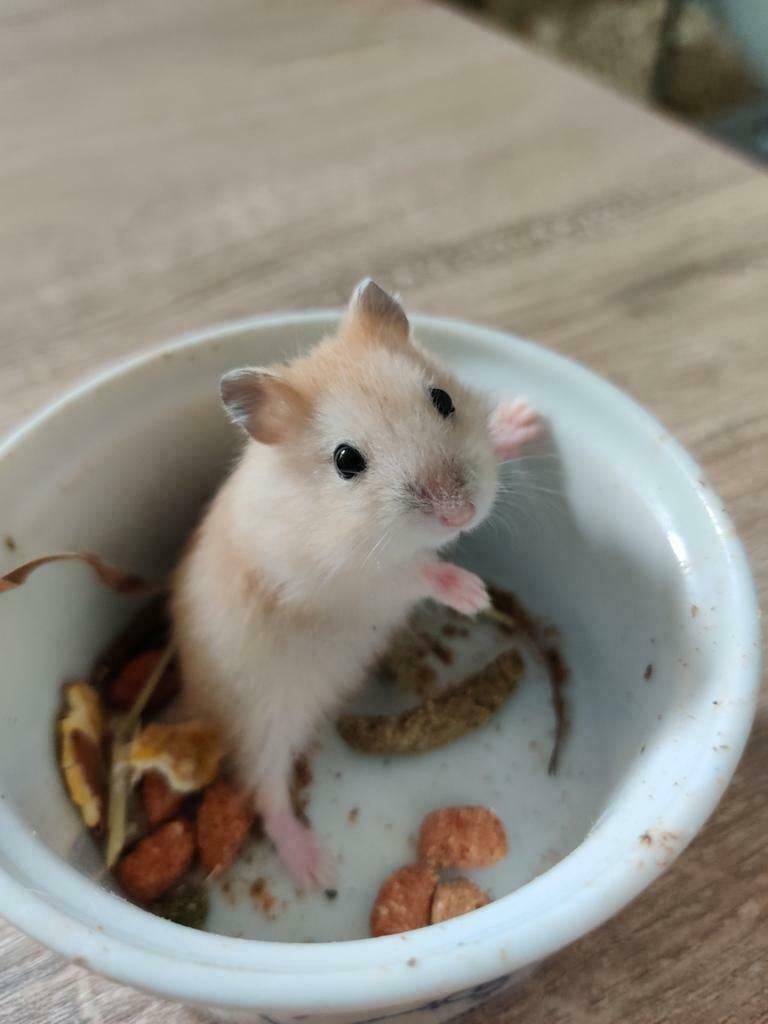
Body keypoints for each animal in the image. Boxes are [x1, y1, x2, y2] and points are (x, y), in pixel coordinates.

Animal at [172, 280, 540, 886]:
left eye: (443, 399)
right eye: (346, 460)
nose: (462, 515)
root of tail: (191, 703)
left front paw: (523, 418)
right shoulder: (342, 580)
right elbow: (412, 574)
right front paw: (473, 594)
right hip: (262, 716)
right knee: (263, 791)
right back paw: (315, 868)